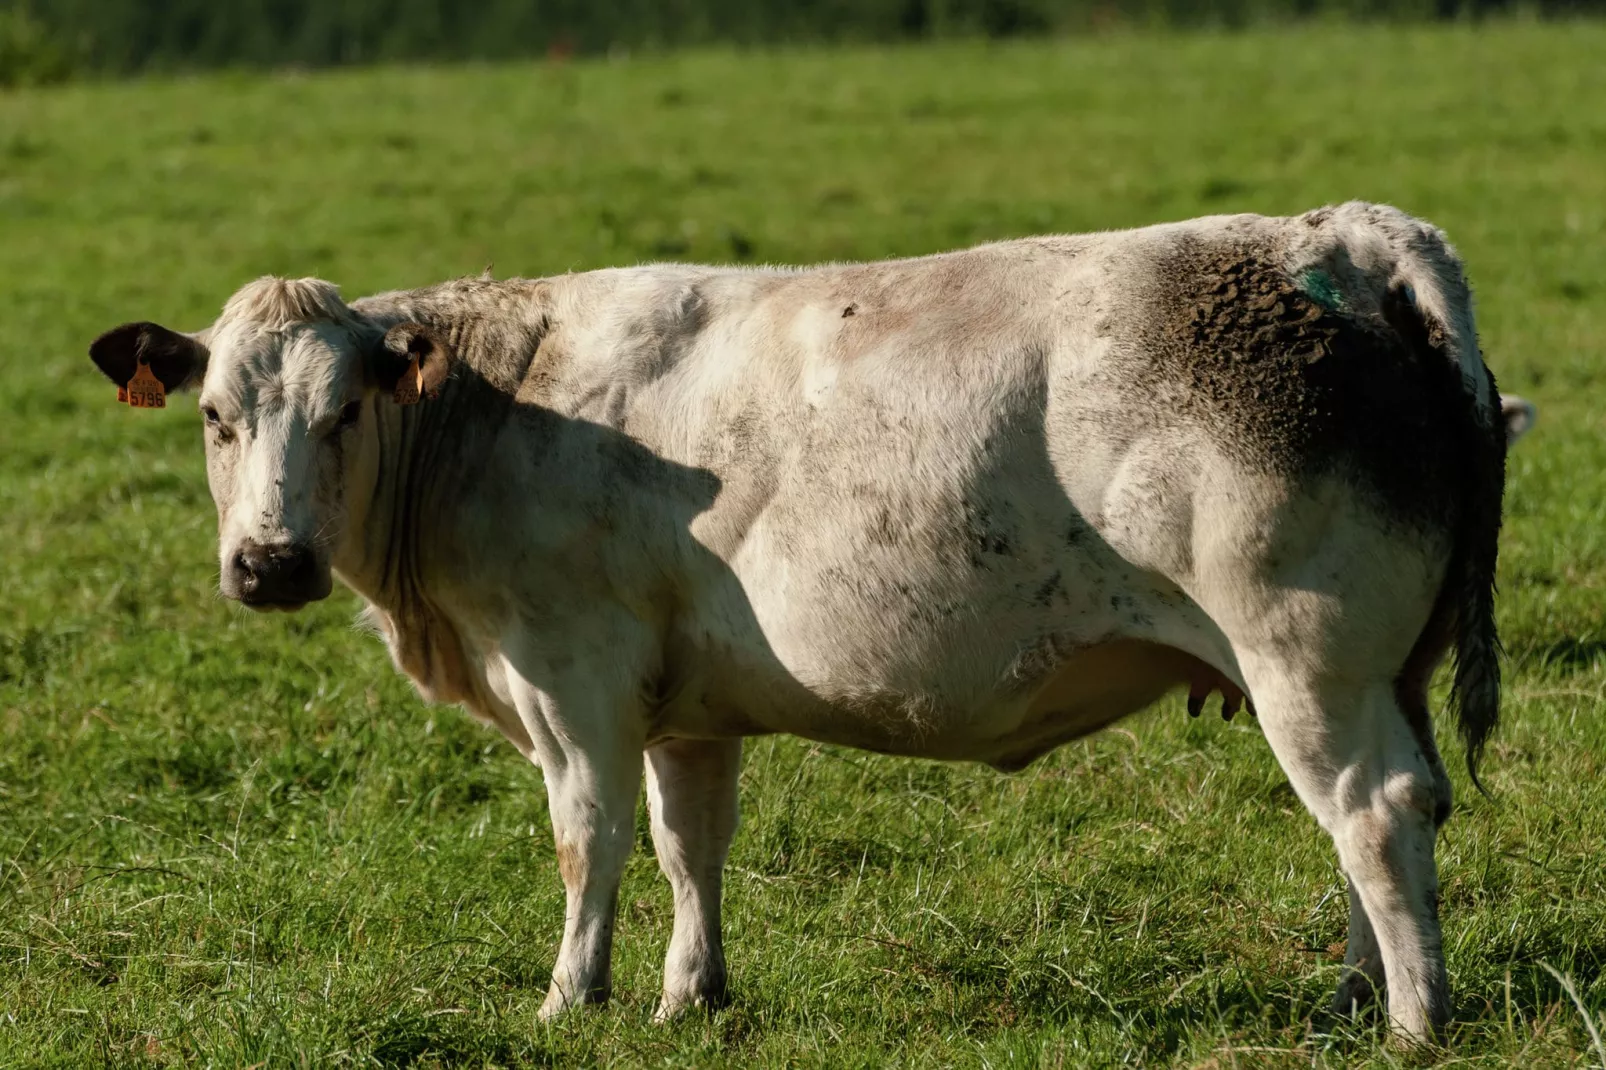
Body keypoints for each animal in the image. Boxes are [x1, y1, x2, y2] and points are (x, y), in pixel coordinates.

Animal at [93, 202, 1509, 1041]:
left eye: (340, 414)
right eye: (215, 416)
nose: (270, 563)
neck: (497, 408)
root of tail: (1337, 237)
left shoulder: (574, 677)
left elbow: (590, 839)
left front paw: (569, 997)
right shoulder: (684, 706)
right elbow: (688, 846)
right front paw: (688, 996)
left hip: (1305, 657)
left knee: (1375, 812)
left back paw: (1411, 1021)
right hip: (1375, 669)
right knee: (1386, 820)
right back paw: (1352, 996)